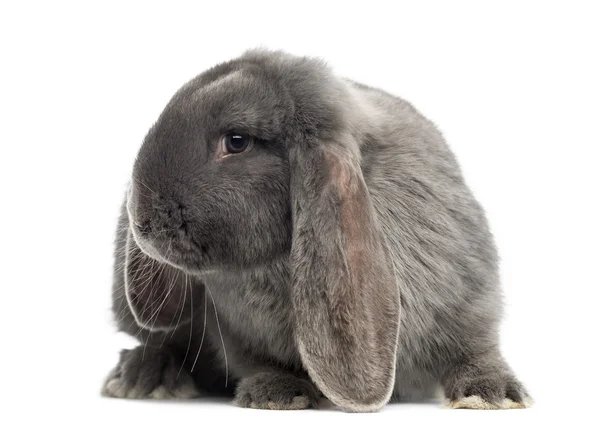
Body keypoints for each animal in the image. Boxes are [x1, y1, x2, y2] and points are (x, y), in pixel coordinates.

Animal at [102, 48, 528, 410]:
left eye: (236, 141)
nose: (142, 223)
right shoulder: (237, 331)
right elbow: (258, 361)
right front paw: (277, 394)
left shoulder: (469, 300)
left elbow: (476, 349)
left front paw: (492, 394)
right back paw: (142, 377)